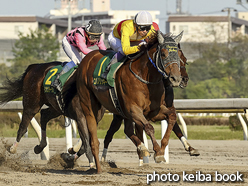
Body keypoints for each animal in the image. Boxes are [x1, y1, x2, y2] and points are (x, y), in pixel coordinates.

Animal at [76, 30, 183, 173]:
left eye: (178, 54)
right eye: (163, 53)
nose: (176, 79)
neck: (145, 77)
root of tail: (86, 59)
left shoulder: (153, 111)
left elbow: (171, 116)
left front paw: (161, 148)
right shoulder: (133, 110)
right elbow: (149, 128)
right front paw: (158, 152)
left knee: (127, 130)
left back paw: (141, 148)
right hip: (89, 105)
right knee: (93, 136)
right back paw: (98, 168)